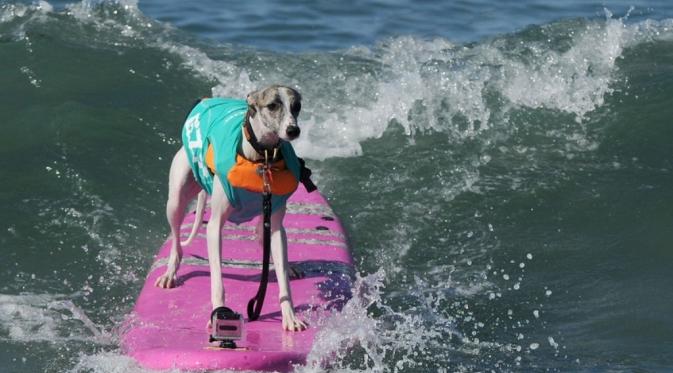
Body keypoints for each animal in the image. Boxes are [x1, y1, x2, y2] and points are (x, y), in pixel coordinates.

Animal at [155, 85, 308, 330]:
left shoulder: (274, 225)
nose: (293, 130)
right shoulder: (214, 226)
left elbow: (283, 280)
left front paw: (290, 316)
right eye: (272, 105)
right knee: (177, 242)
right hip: (176, 200)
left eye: (297, 106)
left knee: (262, 237)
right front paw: (219, 313)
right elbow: (217, 280)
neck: (261, 158)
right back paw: (170, 272)